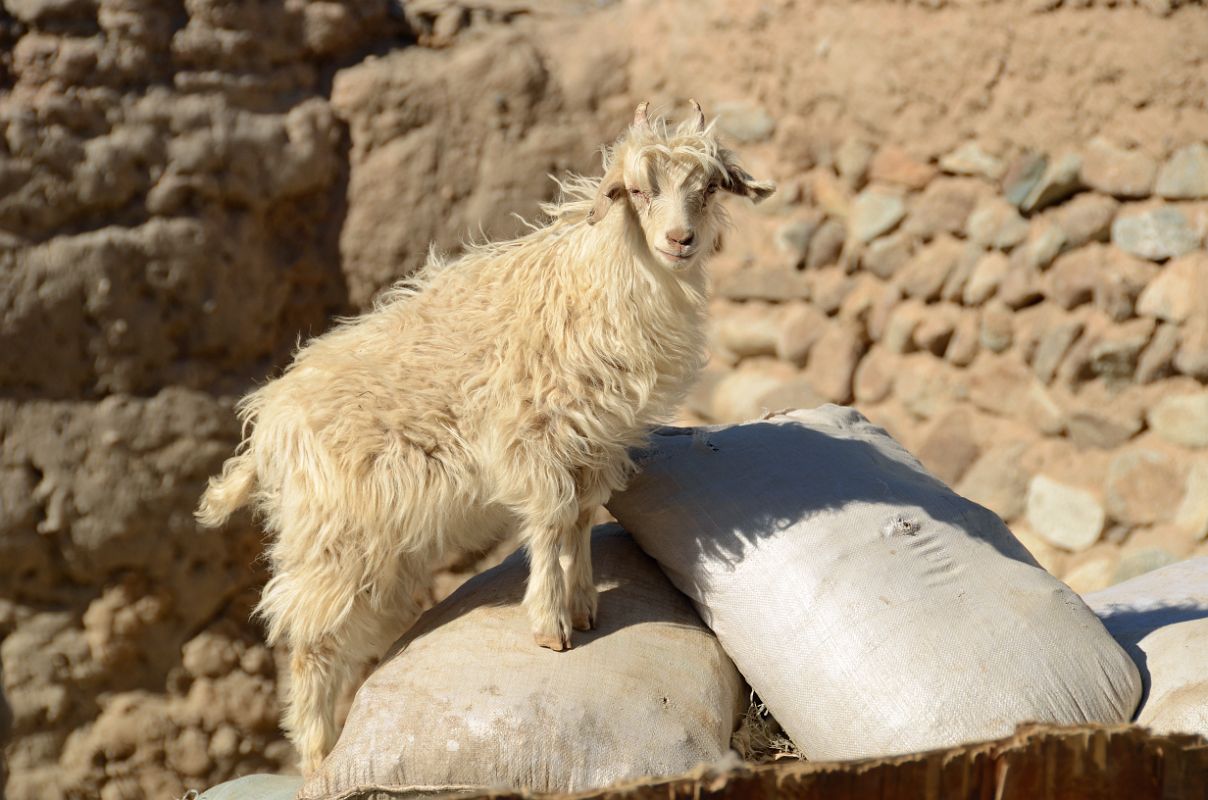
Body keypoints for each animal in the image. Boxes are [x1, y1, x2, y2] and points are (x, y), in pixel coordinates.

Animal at [193, 98, 768, 773]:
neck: (594, 286)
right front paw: (550, 626)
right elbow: (550, 520)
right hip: (331, 537)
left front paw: (583, 605)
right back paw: (315, 756)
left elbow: (581, 518)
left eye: (708, 189)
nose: (681, 240)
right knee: (311, 643)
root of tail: (266, 424)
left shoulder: (594, 442)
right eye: (635, 190)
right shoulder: (533, 438)